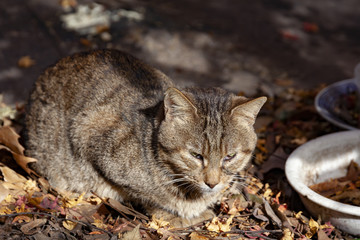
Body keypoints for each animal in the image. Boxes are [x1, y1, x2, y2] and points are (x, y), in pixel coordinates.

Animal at [23, 49, 266, 227]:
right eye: (196, 155)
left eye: (230, 156)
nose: (212, 183)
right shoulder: (89, 132)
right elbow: (148, 197)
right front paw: (180, 214)